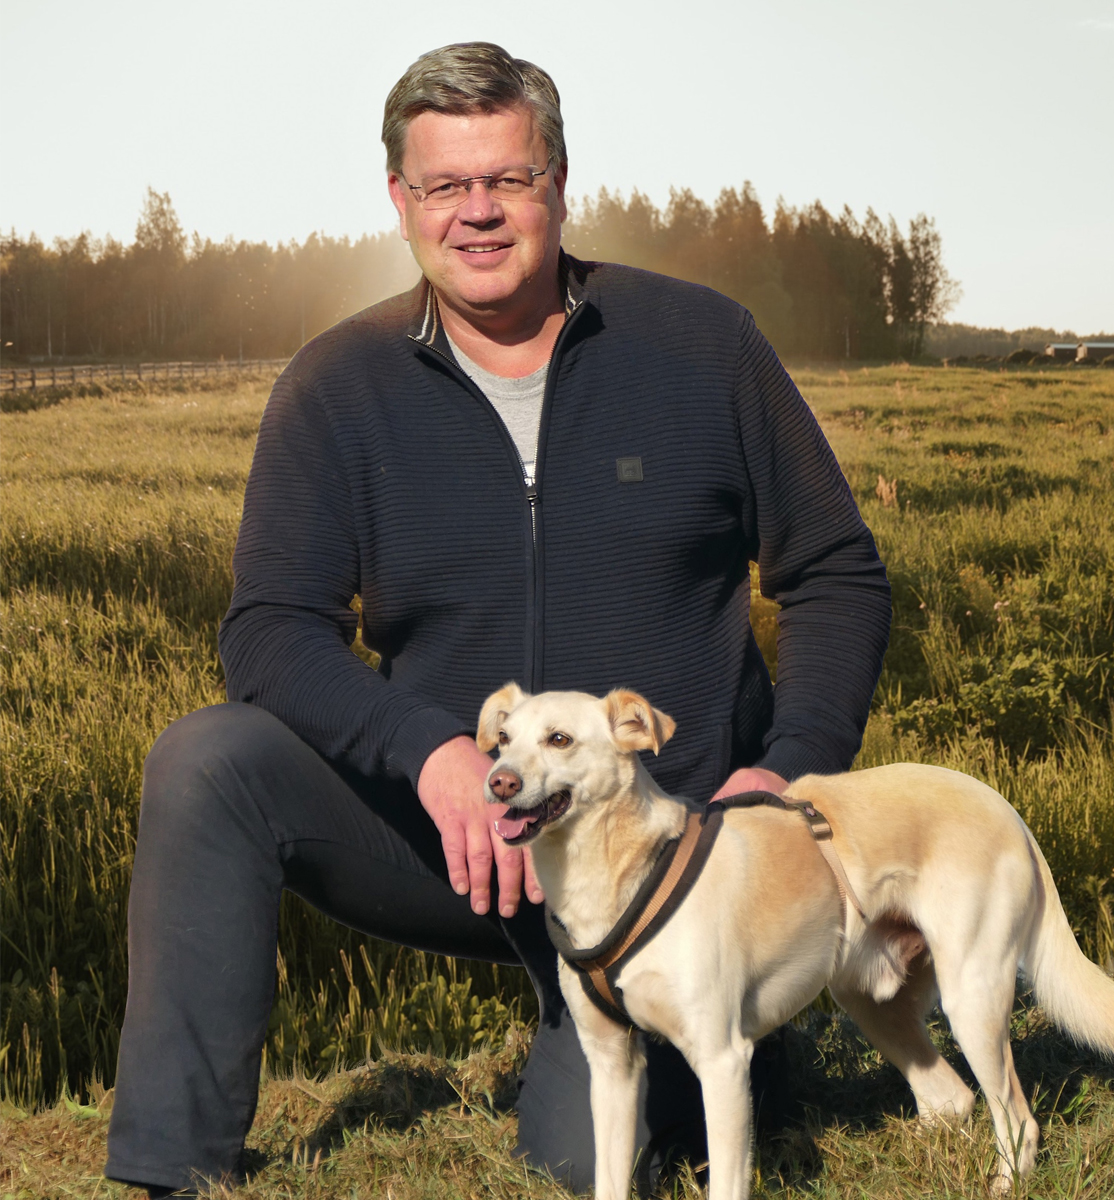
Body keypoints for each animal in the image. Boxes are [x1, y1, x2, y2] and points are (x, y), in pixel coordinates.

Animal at [475, 686, 1114, 1200]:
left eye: (559, 739)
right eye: (502, 739)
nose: (497, 782)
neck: (620, 874)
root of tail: (1004, 807)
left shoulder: (722, 1061)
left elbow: (727, 1182)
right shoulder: (612, 1066)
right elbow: (609, 1178)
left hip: (972, 1001)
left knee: (1017, 1121)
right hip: (869, 998)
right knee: (948, 1098)